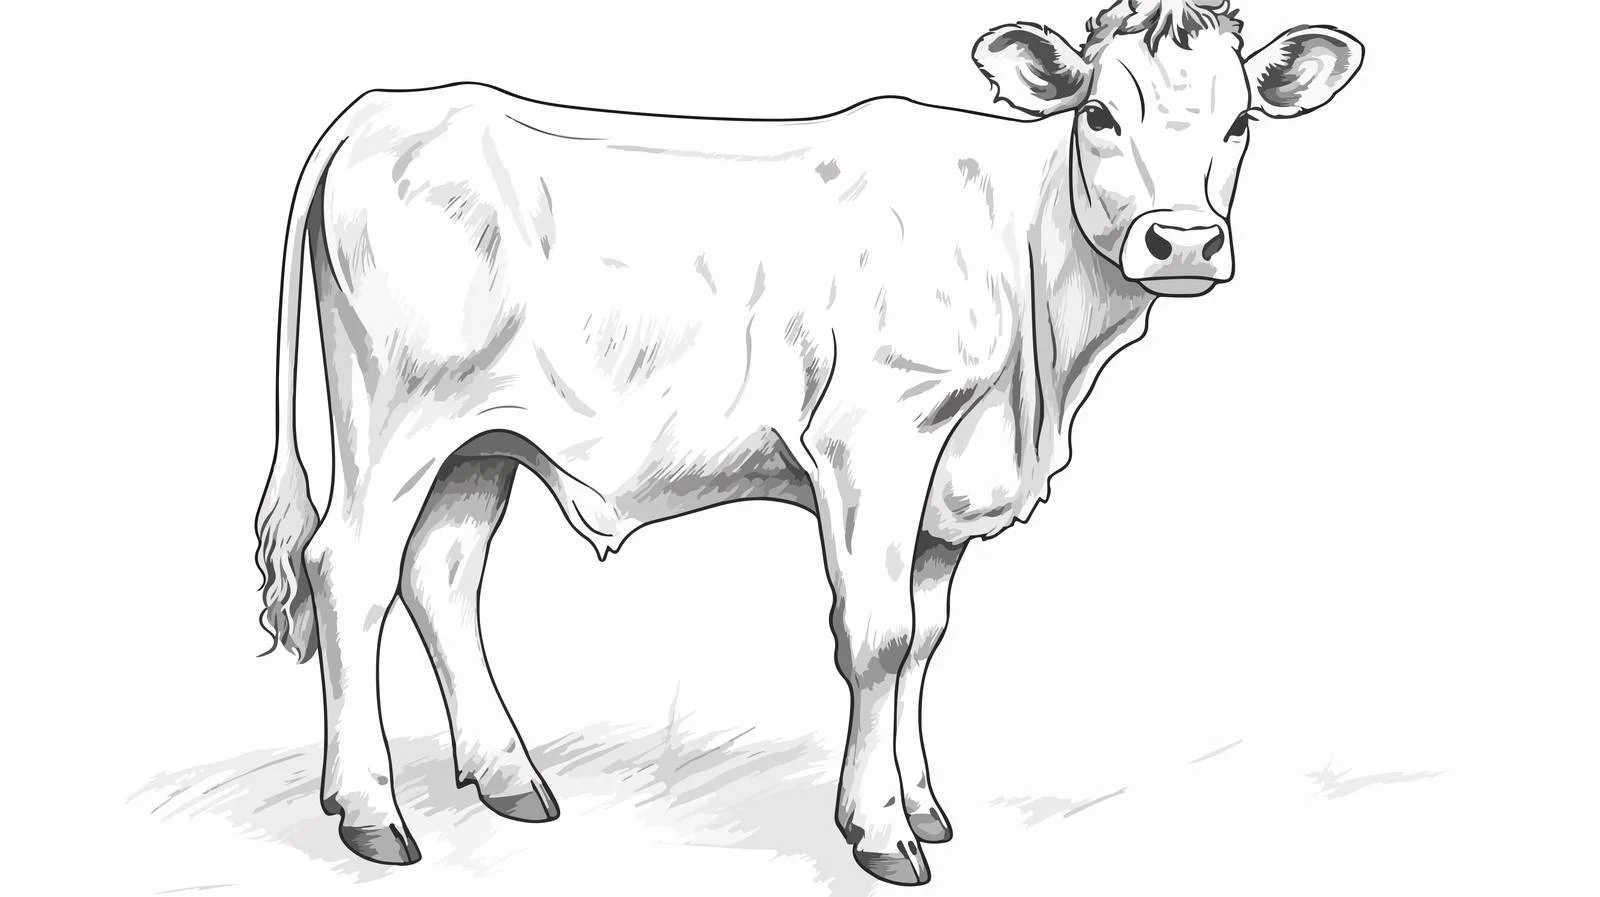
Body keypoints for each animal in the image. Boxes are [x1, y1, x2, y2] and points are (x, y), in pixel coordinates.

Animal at [253, 0, 1363, 886]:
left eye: (1238, 121)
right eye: (1098, 114)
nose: (1184, 242)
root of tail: (386, 107)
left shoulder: (943, 484)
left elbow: (924, 639)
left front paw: (922, 804)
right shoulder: (877, 439)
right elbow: (876, 638)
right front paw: (879, 832)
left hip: (479, 440)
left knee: (440, 574)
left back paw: (508, 777)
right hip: (394, 419)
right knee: (350, 571)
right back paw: (371, 814)